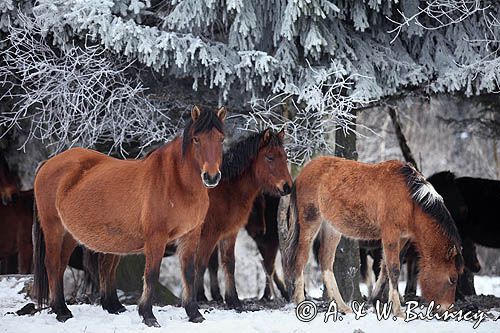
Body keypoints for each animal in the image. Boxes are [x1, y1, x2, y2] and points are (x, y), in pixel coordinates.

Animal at [35, 107, 229, 326]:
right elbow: (151, 274)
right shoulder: (156, 238)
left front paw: (194, 313)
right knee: (52, 264)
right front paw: (148, 315)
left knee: (60, 266)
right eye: (196, 139)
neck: (175, 182)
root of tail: (48, 163)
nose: (211, 176)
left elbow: (188, 273)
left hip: (69, 235)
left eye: (221, 139)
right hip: (54, 228)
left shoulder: (190, 235)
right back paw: (61, 311)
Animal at [192, 128, 292, 308]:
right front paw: (197, 298)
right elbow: (201, 264)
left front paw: (233, 300)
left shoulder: (230, 233)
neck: (224, 192)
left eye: (285, 157)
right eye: (269, 157)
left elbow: (229, 263)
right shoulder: (209, 235)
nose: (287, 186)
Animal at [282, 157, 464, 316]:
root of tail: (301, 174)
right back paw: (300, 303)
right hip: (310, 221)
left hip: (331, 228)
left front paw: (375, 299)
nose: (447, 311)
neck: (410, 198)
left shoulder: (402, 238)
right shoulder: (390, 234)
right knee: (300, 259)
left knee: (326, 261)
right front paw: (397, 311)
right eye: (452, 279)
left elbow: (384, 269)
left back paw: (343, 307)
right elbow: (394, 269)